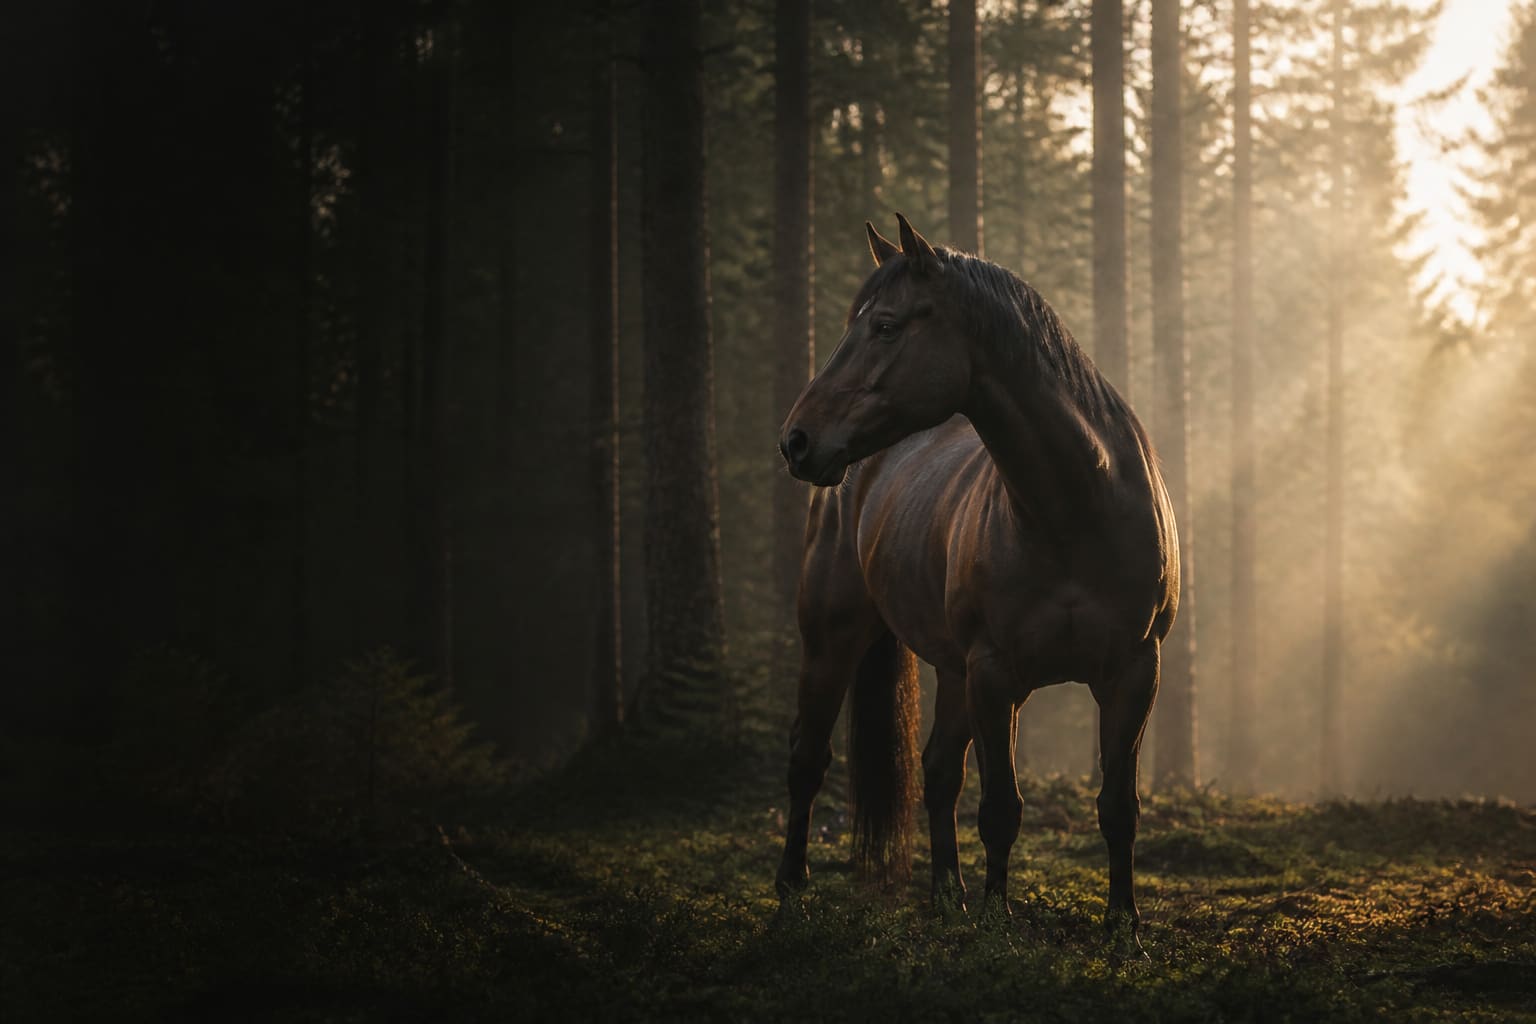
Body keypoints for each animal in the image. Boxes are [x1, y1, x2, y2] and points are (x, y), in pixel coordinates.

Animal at [773, 214, 1179, 953]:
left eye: (885, 326)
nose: (797, 441)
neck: (1076, 510)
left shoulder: (1134, 673)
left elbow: (1118, 807)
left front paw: (1123, 929)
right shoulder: (996, 675)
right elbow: (999, 809)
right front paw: (996, 926)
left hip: (952, 671)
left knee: (937, 770)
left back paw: (946, 897)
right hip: (833, 643)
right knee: (807, 760)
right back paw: (792, 888)